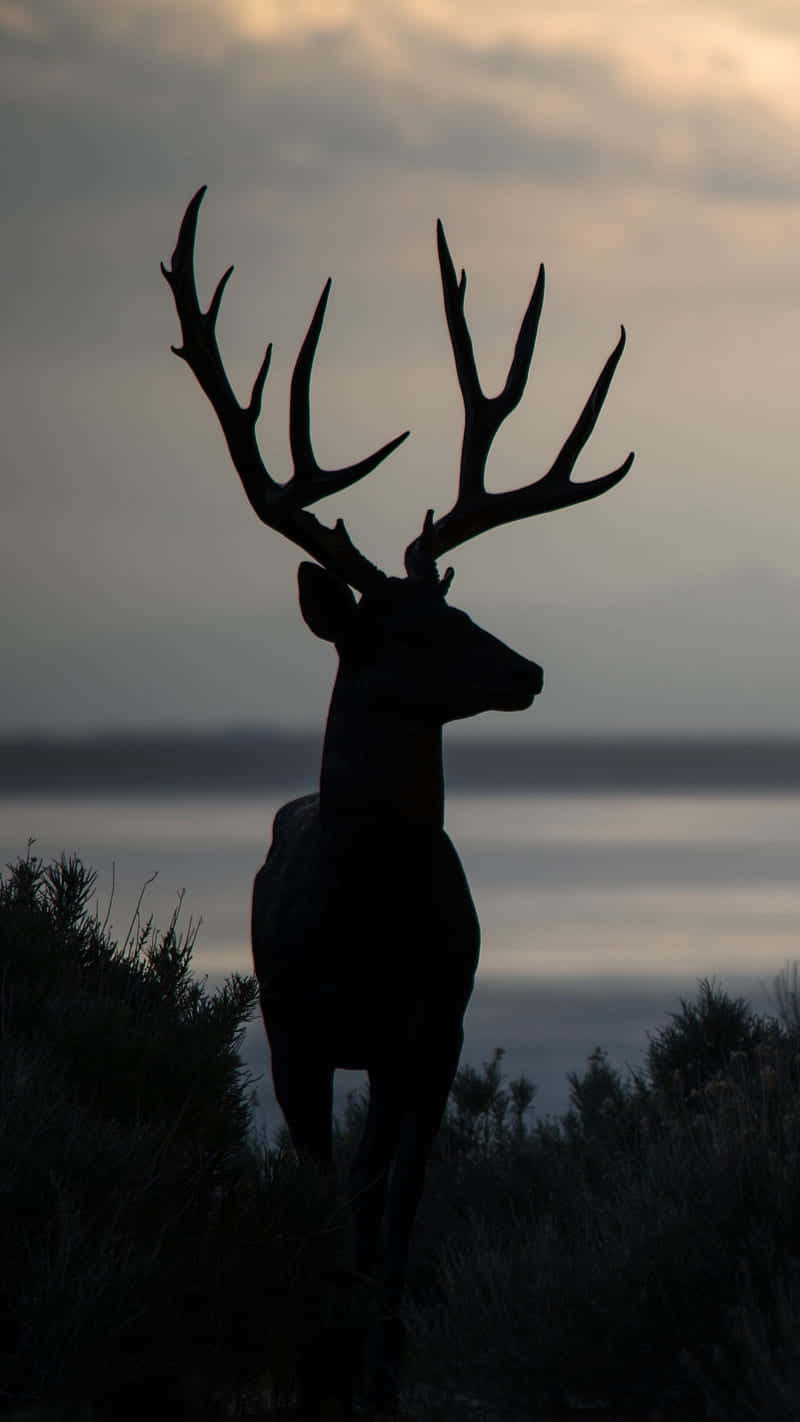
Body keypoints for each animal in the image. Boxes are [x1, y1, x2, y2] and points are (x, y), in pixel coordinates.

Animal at [162, 188, 634, 1409]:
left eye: (461, 609)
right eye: (412, 631)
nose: (527, 670)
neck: (366, 923)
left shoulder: (428, 1029)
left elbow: (387, 1203)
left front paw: (366, 1359)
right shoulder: (295, 1029)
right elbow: (320, 1188)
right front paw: (312, 1353)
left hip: (423, 1044)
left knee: (400, 1199)